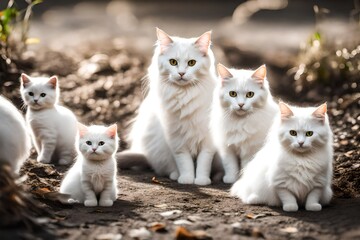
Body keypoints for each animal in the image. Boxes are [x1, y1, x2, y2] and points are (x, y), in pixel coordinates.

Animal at [122, 28, 217, 186]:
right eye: (173, 62)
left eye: (192, 63)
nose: (181, 73)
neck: (184, 95)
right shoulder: (177, 140)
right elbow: (185, 162)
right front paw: (187, 179)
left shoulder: (207, 140)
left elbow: (204, 161)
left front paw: (202, 180)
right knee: (166, 168)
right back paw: (175, 175)